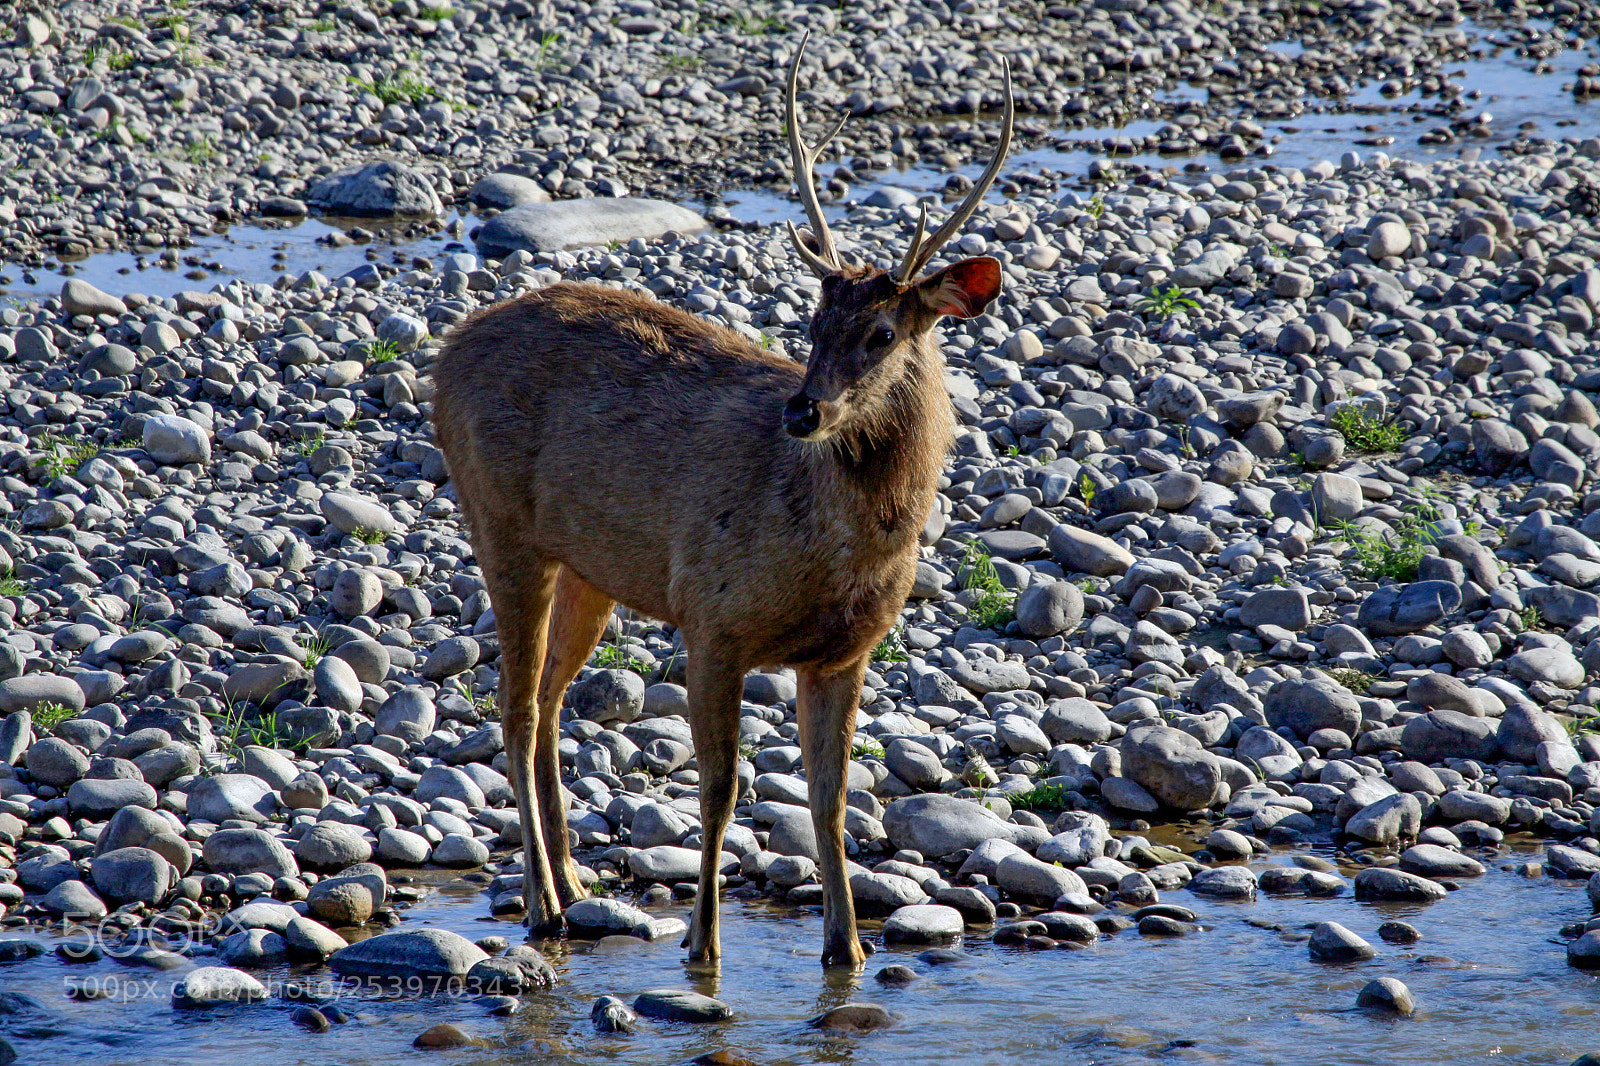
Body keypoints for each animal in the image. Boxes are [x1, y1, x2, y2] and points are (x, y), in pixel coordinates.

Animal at [429, 34, 1013, 970]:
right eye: (810, 324)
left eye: (882, 332)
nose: (803, 409)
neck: (838, 550)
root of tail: (442, 354)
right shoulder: (713, 616)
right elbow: (719, 790)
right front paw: (702, 946)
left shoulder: (844, 652)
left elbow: (830, 797)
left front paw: (847, 950)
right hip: (500, 522)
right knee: (513, 709)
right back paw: (543, 903)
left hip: (590, 567)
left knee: (549, 701)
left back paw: (576, 882)